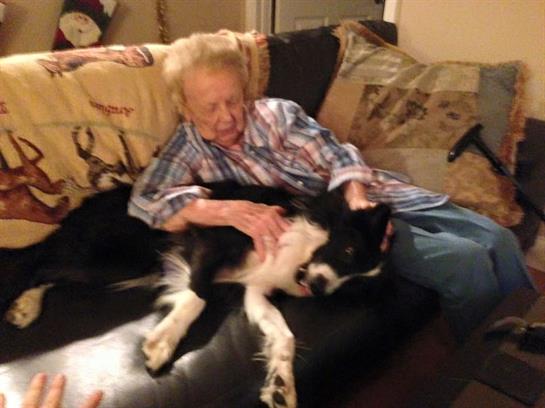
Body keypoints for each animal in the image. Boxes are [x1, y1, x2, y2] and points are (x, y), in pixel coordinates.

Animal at [0, 181, 391, 408]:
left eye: (352, 286)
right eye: (349, 251)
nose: (321, 289)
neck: (301, 249)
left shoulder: (255, 292)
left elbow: (285, 336)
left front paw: (281, 384)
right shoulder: (208, 239)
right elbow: (199, 292)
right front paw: (162, 344)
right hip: (119, 256)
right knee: (41, 264)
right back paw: (25, 305)